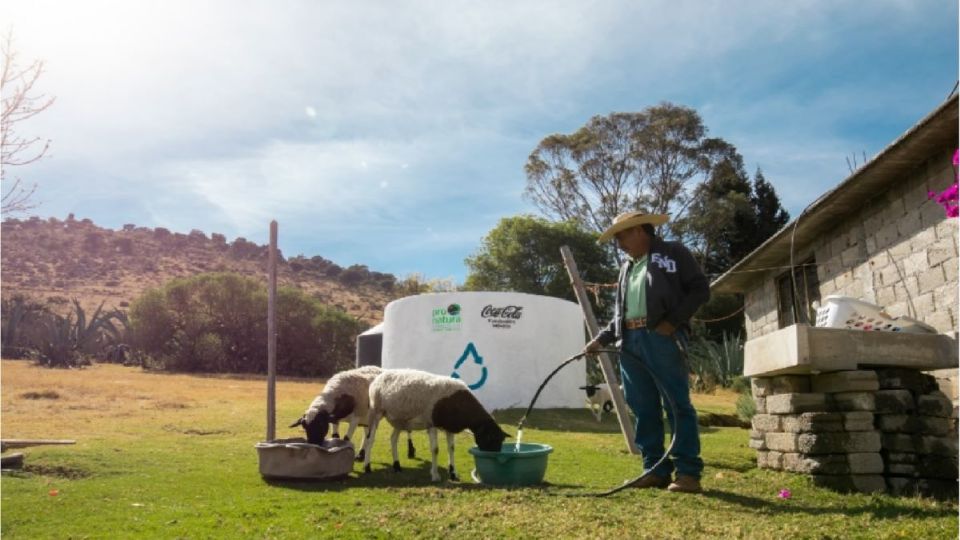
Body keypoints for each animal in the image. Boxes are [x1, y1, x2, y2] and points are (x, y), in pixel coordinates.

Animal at [288, 362, 416, 460]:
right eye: (305, 427)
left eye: (320, 424)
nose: (313, 443)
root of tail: (381, 369)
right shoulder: (335, 419)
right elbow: (336, 436)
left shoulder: (355, 419)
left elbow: (346, 439)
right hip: (368, 416)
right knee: (366, 434)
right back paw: (361, 455)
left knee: (408, 430)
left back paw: (411, 451)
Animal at [360, 370, 510, 484]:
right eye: (491, 439)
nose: (495, 459)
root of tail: (380, 376)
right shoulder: (431, 423)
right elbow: (435, 449)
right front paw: (435, 475)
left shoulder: (450, 427)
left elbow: (452, 448)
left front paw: (453, 473)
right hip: (376, 411)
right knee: (370, 440)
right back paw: (367, 467)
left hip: (400, 420)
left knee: (393, 439)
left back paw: (397, 466)